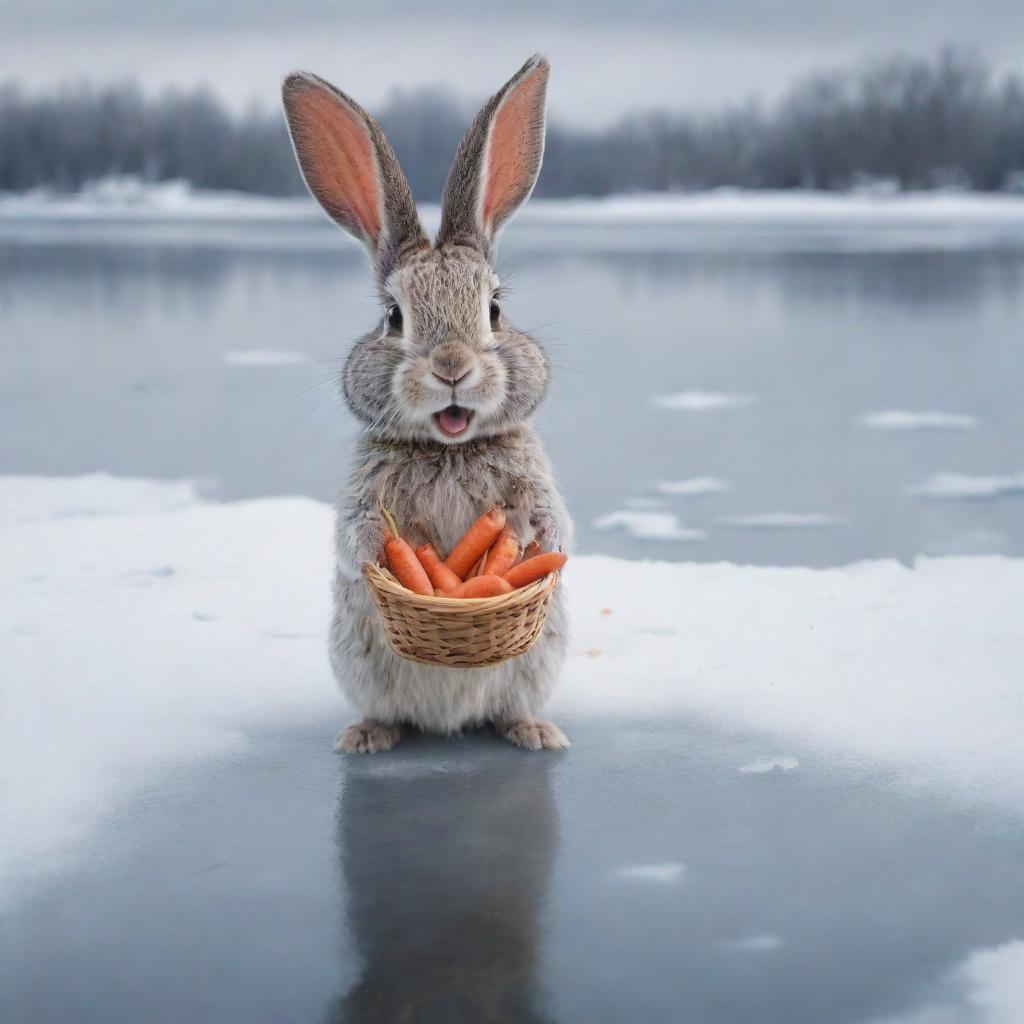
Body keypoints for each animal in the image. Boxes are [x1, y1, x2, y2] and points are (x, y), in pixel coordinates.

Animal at [282, 56, 577, 753]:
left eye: (494, 309)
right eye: (394, 316)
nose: (451, 368)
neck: (450, 447)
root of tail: (449, 723)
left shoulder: (534, 482)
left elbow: (553, 521)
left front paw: (546, 546)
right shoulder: (361, 495)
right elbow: (355, 536)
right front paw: (376, 558)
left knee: (509, 708)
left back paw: (535, 732)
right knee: (388, 711)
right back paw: (366, 736)